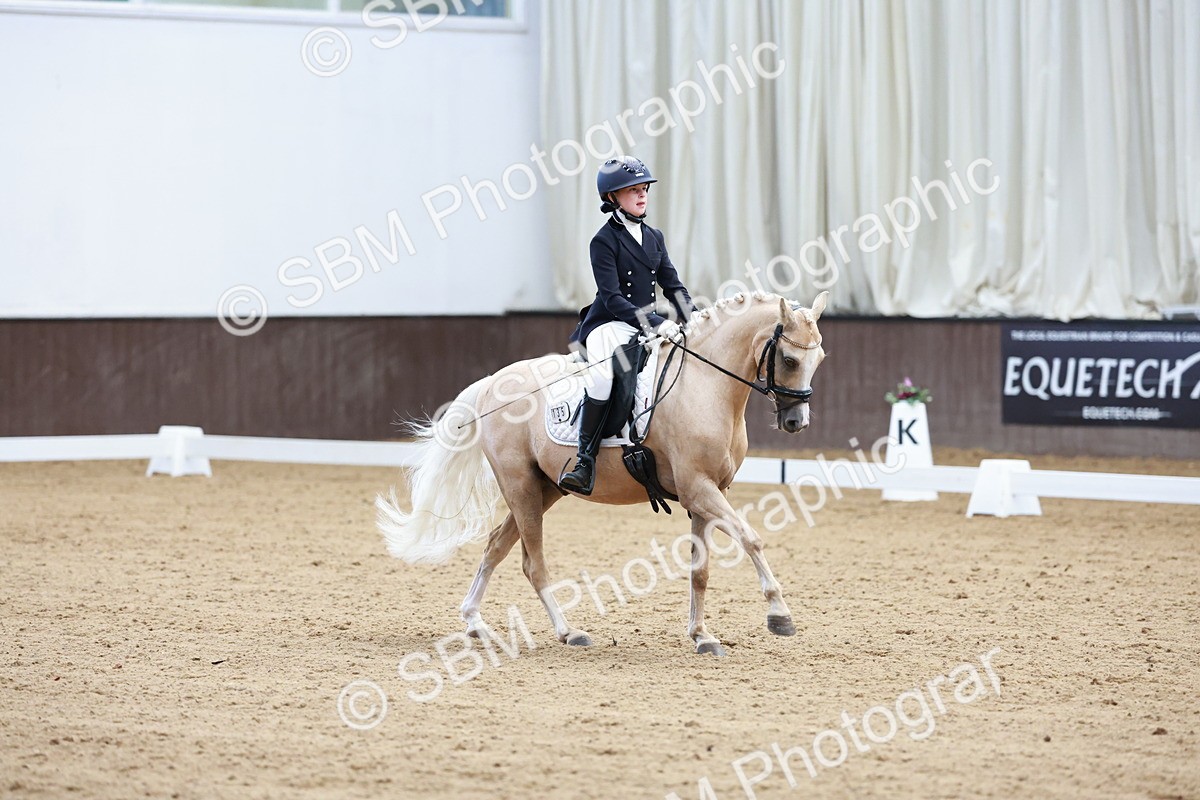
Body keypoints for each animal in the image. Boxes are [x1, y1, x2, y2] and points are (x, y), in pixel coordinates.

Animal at [377, 290, 829, 656]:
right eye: (789, 359)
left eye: (819, 359)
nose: (796, 422)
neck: (705, 385)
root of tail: (492, 383)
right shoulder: (699, 489)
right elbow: (752, 539)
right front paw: (780, 615)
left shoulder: (707, 494)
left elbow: (699, 571)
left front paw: (702, 636)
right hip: (520, 485)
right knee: (533, 564)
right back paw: (568, 632)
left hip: (544, 488)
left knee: (495, 547)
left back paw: (475, 623)